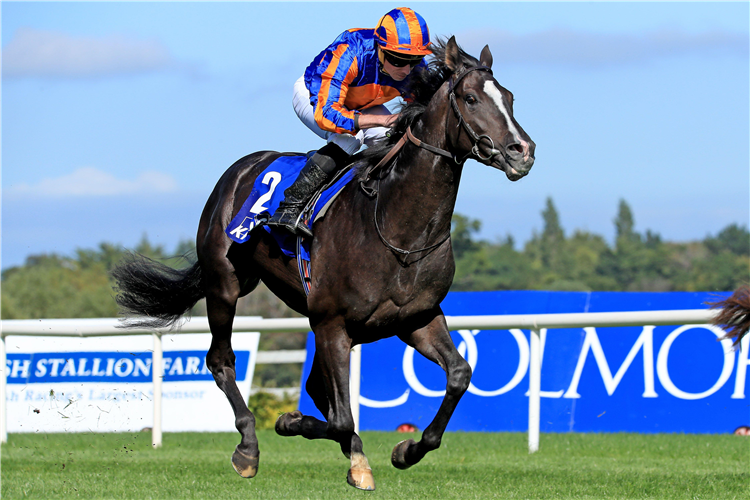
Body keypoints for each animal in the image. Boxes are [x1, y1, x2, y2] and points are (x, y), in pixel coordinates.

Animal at [110, 37, 536, 490]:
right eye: (471, 99)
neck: (398, 228)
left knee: (318, 388)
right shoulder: (332, 322)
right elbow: (341, 417)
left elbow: (458, 375)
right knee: (222, 360)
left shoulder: (416, 318)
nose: (522, 151)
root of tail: (240, 169)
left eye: (509, 98)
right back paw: (249, 447)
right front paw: (288, 422)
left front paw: (405, 450)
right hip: (225, 284)